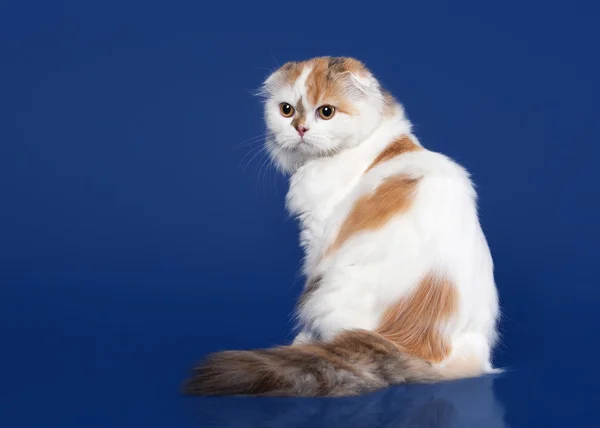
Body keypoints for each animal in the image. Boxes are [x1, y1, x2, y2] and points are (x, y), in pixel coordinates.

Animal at [183, 56, 502, 398]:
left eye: (326, 112)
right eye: (286, 110)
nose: (300, 129)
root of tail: (425, 347)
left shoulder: (318, 236)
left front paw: (305, 339)